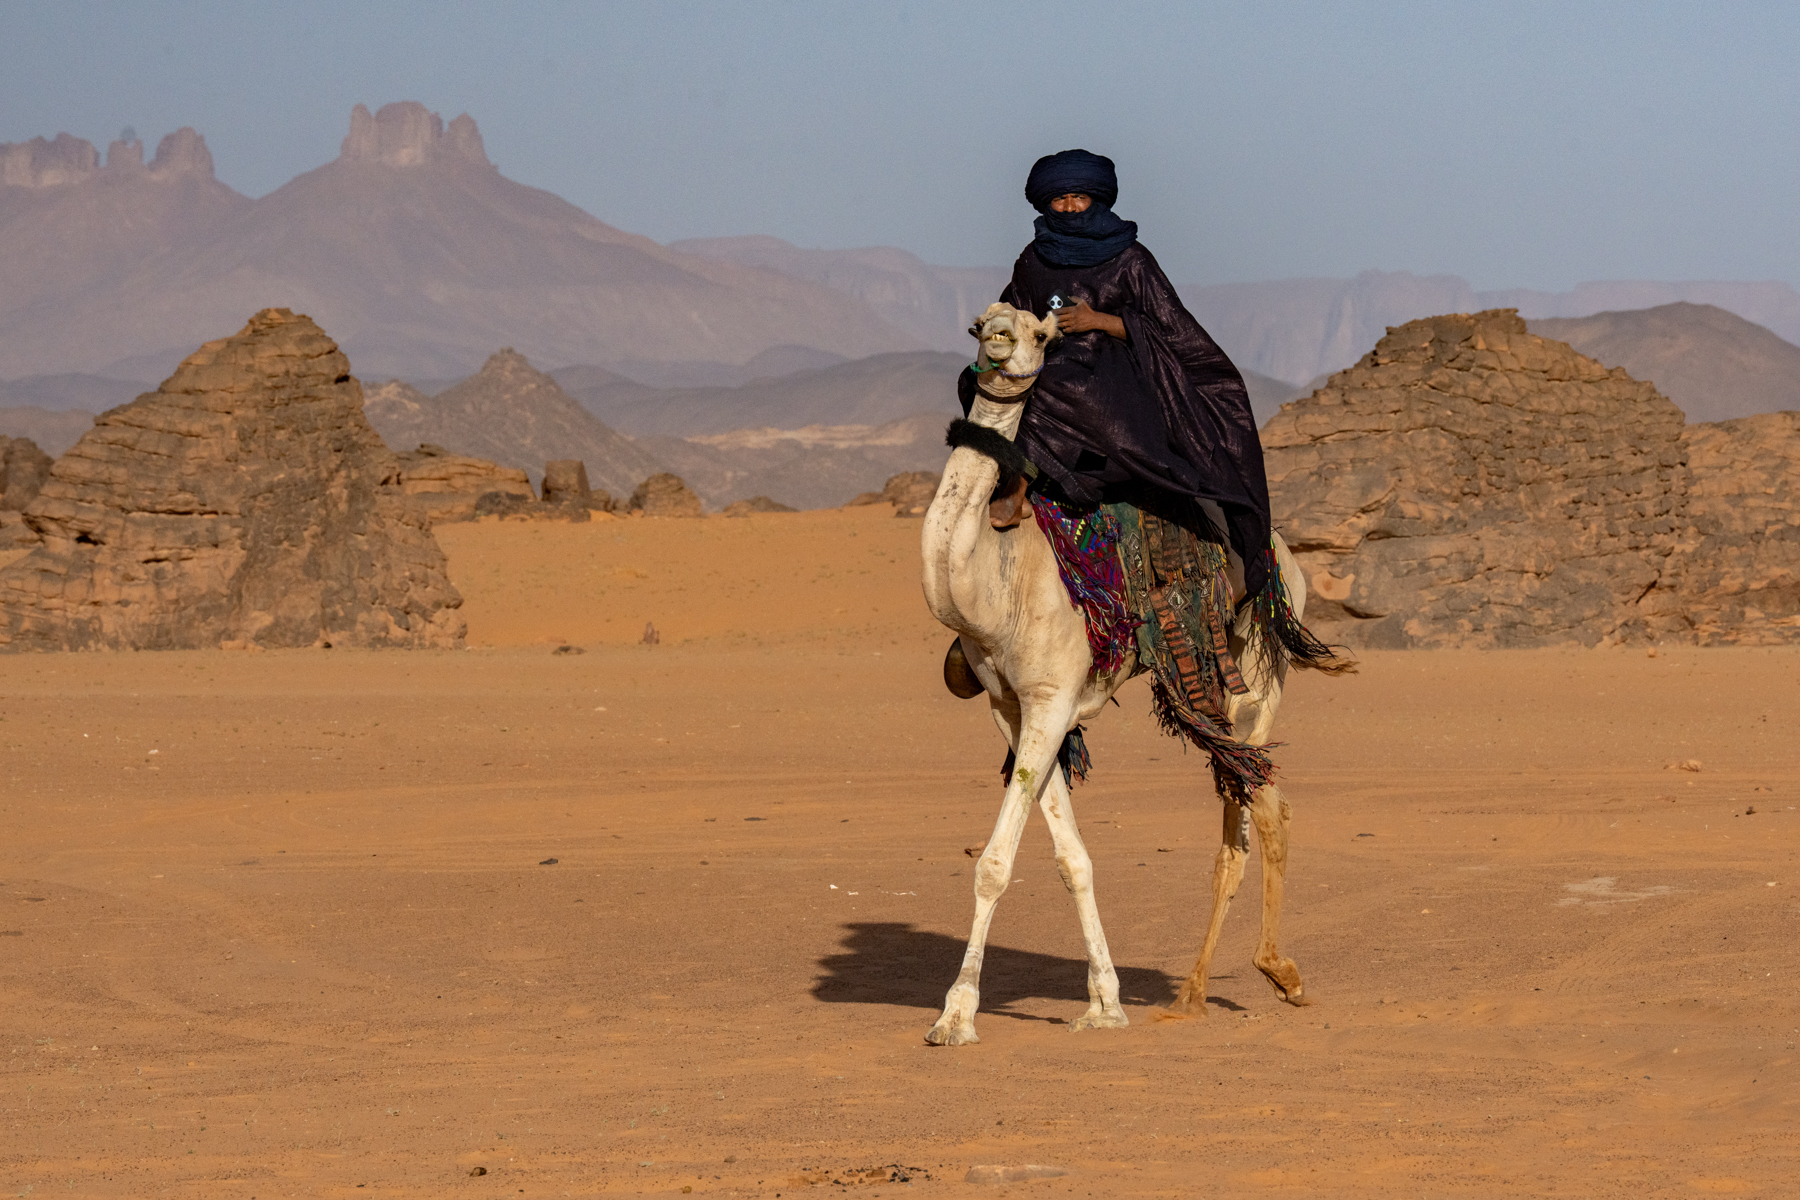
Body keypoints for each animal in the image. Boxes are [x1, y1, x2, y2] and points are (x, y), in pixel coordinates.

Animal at [918, 302, 1316, 1046]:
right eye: (982, 318)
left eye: (1040, 332)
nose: (998, 335)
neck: (997, 577)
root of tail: (1288, 554)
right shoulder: (1016, 706)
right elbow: (1072, 859)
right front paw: (1104, 1003)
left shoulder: (1050, 697)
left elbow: (994, 864)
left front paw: (954, 1016)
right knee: (1251, 798)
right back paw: (1220, 984)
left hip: (1257, 673)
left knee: (1261, 802)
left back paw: (1258, 978)